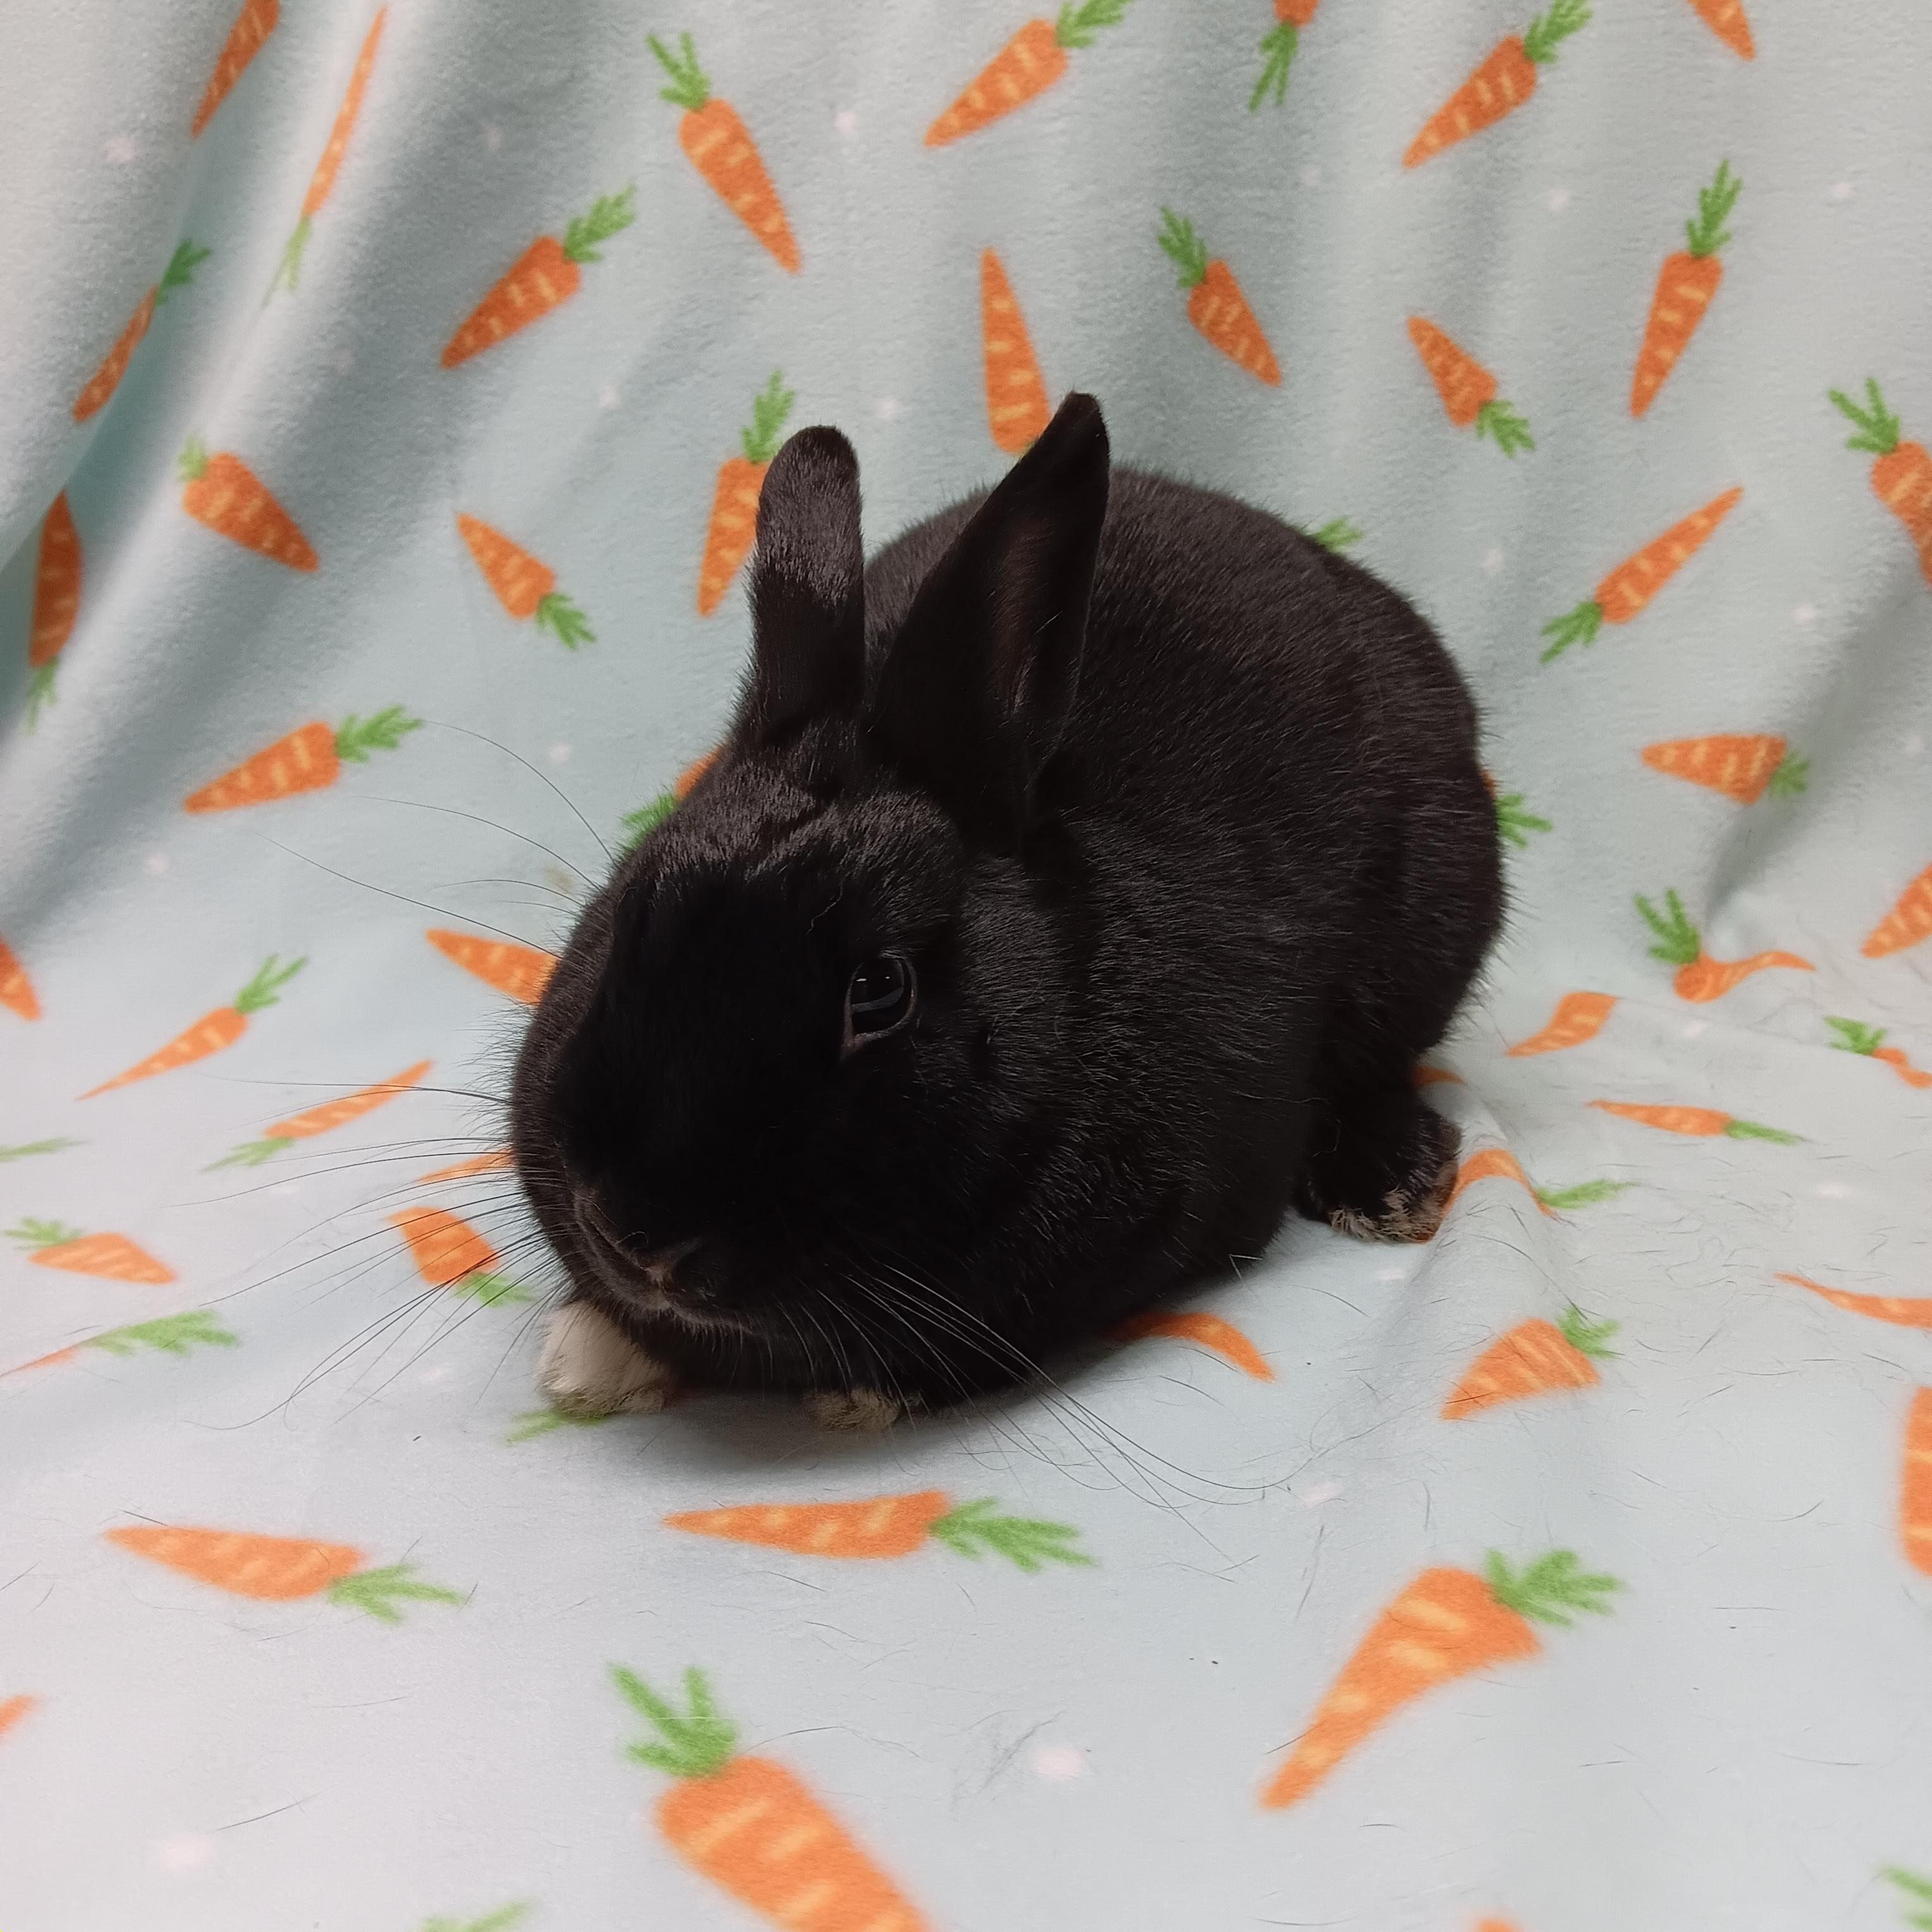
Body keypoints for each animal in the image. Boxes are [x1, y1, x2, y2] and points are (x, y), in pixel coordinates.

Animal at [510, 392, 1502, 1427]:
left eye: (882, 989)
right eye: (633, 906)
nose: (636, 1238)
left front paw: (855, 1397)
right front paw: (588, 1357)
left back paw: (1395, 1183)